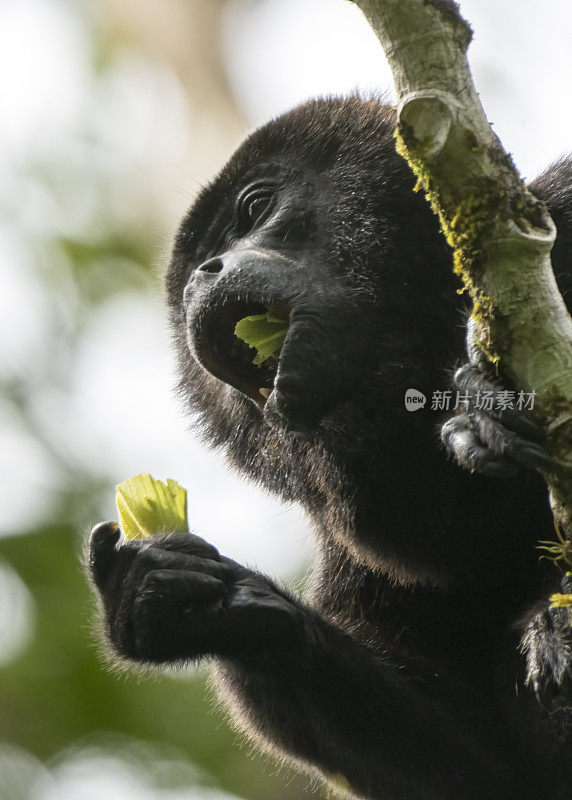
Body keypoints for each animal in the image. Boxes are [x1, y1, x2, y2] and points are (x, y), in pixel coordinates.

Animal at [87, 98, 572, 800]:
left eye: (255, 208)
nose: (200, 278)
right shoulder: (349, 547)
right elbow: (487, 776)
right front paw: (206, 605)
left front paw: (485, 413)